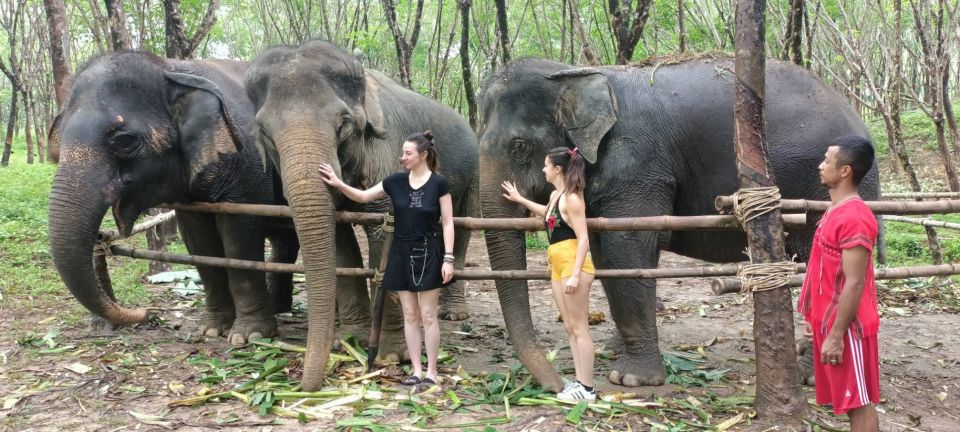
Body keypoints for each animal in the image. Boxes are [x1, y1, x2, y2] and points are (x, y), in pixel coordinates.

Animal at [47, 50, 296, 344]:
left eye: (124, 141)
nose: (145, 313)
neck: (170, 68)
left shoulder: (248, 166)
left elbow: (240, 239)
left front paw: (250, 335)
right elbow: (200, 243)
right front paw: (212, 330)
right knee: (284, 241)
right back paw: (278, 306)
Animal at [244, 41, 476, 392]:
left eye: (343, 124)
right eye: (265, 133)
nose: (305, 384)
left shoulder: (385, 149)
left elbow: (383, 233)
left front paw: (390, 356)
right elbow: (339, 240)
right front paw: (349, 340)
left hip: (474, 174)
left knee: (461, 231)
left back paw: (454, 314)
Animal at [476, 55, 880, 390]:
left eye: (519, 146)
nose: (557, 385)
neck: (574, 71)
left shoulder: (640, 162)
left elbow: (630, 247)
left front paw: (631, 380)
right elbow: (606, 252)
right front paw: (615, 351)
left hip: (824, 191)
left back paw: (815, 375)